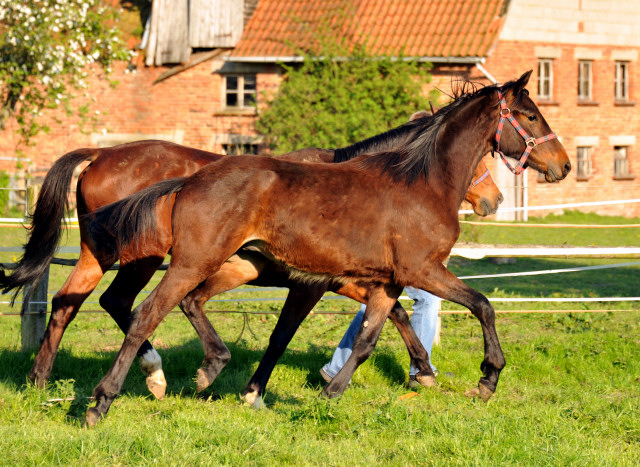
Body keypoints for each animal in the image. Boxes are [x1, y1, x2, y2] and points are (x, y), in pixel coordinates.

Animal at [0, 113, 500, 398]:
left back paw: (39, 381)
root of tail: (100, 154)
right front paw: (254, 391)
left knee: (67, 302)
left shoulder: (350, 278)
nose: (492, 200)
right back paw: (153, 374)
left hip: (98, 255)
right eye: (479, 158)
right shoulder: (313, 283)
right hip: (141, 259)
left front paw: (422, 370)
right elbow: (284, 335)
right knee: (117, 303)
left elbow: (391, 311)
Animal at [85, 71, 568, 426]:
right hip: (189, 262)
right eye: (529, 115)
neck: (423, 183)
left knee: (184, 305)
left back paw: (208, 369)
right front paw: (488, 379)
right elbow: (483, 304)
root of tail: (189, 181)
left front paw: (331, 392)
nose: (562, 165)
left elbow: (370, 338)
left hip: (234, 265)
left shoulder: (387, 284)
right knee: (143, 314)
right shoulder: (420, 271)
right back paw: (106, 401)